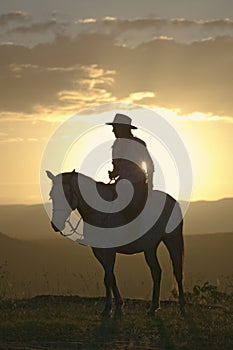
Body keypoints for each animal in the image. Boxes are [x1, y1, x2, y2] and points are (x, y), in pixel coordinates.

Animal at [46, 170, 186, 318]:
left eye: (66, 195)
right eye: (51, 195)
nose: (55, 225)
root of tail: (173, 201)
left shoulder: (110, 251)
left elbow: (108, 278)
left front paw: (111, 308)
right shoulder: (98, 251)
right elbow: (110, 277)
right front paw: (115, 306)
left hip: (173, 240)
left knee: (177, 271)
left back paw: (182, 306)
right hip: (150, 247)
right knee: (156, 271)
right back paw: (153, 307)